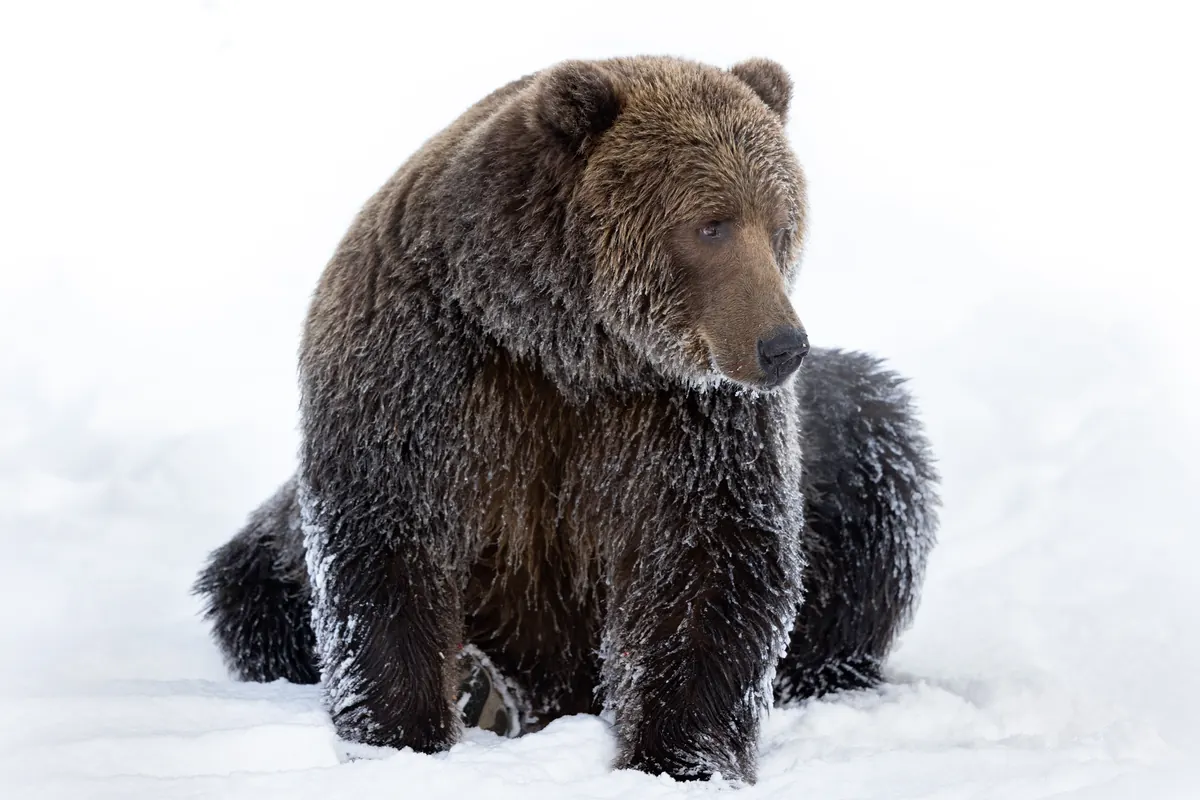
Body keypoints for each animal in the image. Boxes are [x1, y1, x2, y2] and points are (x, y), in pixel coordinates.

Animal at [194, 56, 938, 783]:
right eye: (712, 224)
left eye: (782, 224)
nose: (782, 346)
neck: (569, 342)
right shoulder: (427, 369)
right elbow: (387, 539)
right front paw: (405, 738)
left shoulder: (687, 416)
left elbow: (712, 556)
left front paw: (677, 757)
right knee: (254, 582)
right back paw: (481, 686)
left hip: (833, 437)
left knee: (876, 470)